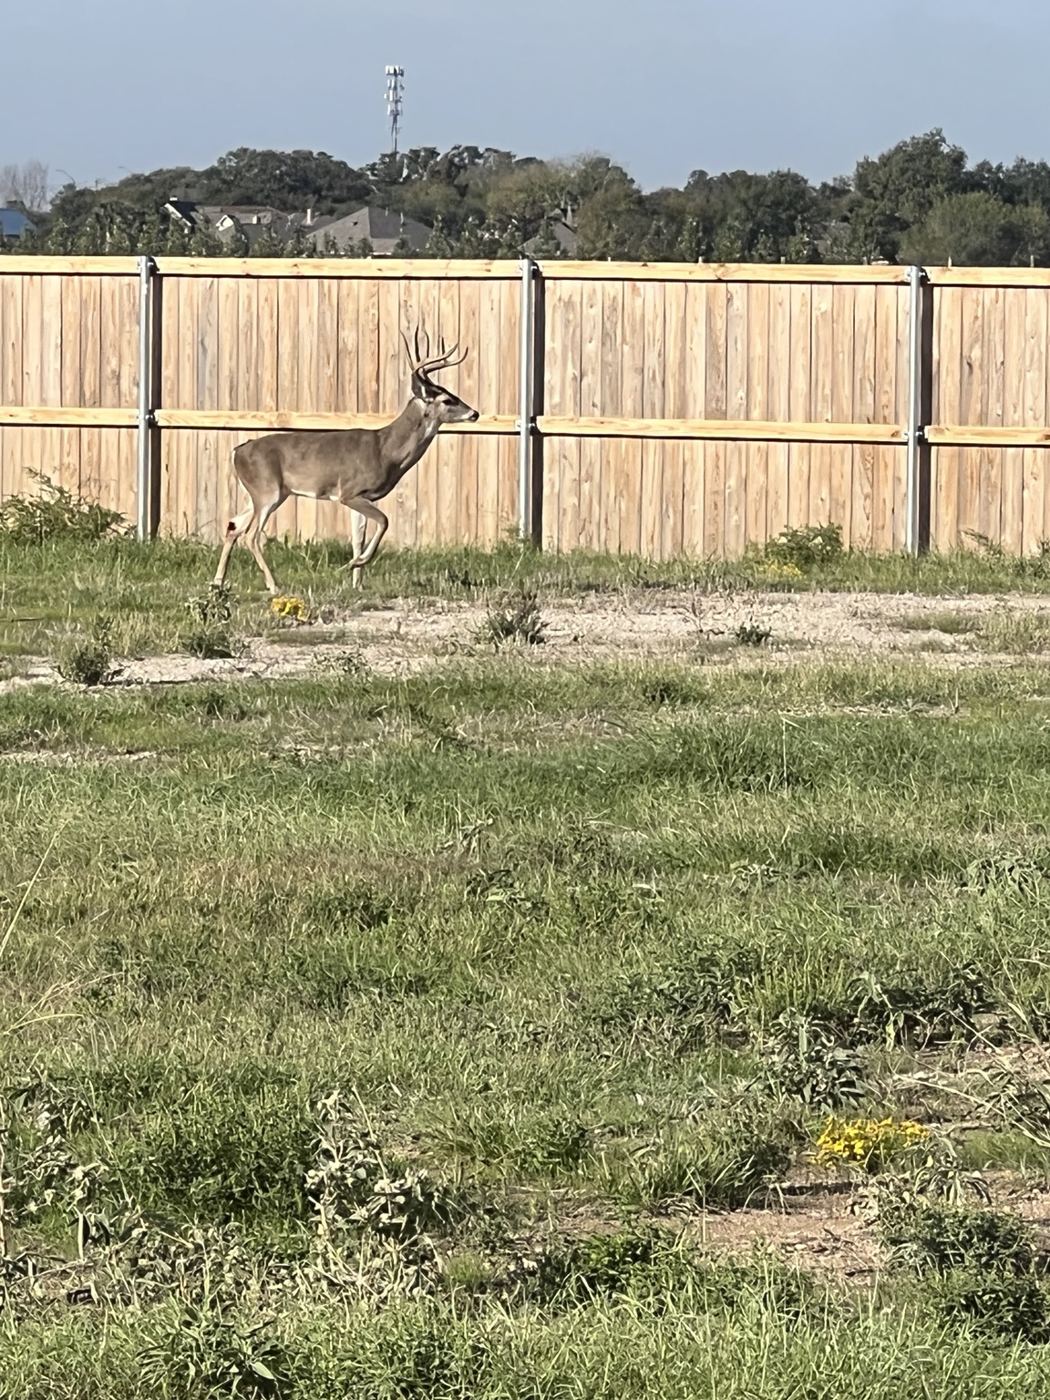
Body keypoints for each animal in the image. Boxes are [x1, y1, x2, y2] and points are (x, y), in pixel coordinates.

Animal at [212, 324, 478, 595]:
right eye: (446, 399)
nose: (475, 413)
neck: (386, 451)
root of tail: (237, 451)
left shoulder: (363, 497)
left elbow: (359, 537)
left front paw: (356, 581)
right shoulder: (349, 492)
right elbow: (384, 521)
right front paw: (354, 564)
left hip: (260, 493)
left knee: (233, 526)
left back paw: (218, 582)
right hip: (267, 491)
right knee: (251, 535)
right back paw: (273, 585)